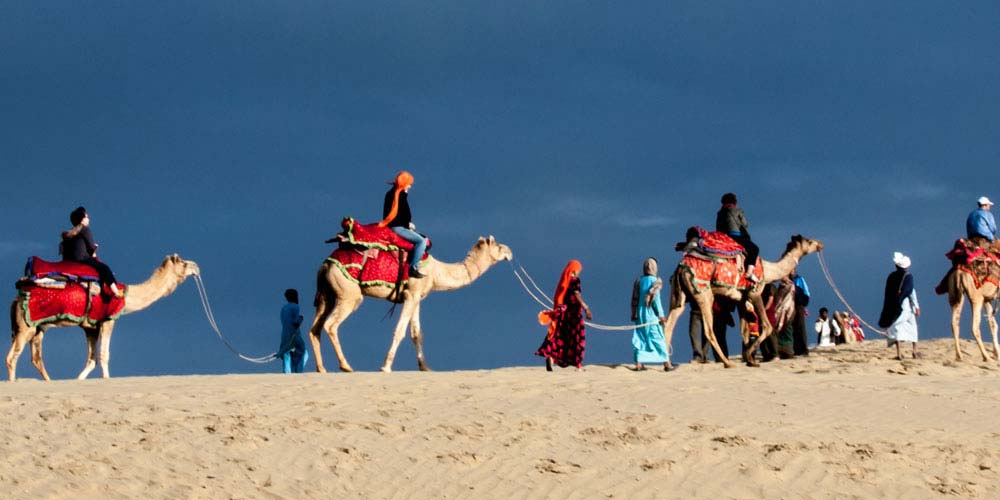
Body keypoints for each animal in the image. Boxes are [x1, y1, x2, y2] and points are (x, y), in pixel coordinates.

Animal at [6, 256, 200, 380]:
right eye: (184, 263)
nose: (197, 267)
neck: (127, 296)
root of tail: (16, 298)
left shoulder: (90, 327)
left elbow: (92, 359)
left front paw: (79, 380)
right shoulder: (108, 320)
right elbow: (104, 354)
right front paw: (106, 379)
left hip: (37, 327)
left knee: (36, 358)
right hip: (26, 326)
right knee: (12, 357)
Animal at [310, 235, 516, 372]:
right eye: (498, 245)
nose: (510, 251)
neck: (436, 272)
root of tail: (326, 264)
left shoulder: (417, 297)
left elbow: (417, 334)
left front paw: (425, 367)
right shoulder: (411, 294)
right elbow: (399, 331)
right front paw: (386, 367)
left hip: (326, 294)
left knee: (315, 328)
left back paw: (322, 369)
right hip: (349, 294)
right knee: (331, 325)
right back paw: (346, 366)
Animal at [664, 234, 820, 368]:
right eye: (809, 241)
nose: (820, 244)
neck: (768, 270)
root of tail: (681, 268)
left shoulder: (740, 299)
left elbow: (745, 331)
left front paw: (749, 360)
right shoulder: (754, 293)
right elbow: (767, 326)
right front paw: (751, 357)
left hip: (680, 296)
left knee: (668, 326)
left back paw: (668, 365)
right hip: (704, 293)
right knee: (709, 330)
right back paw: (727, 362)